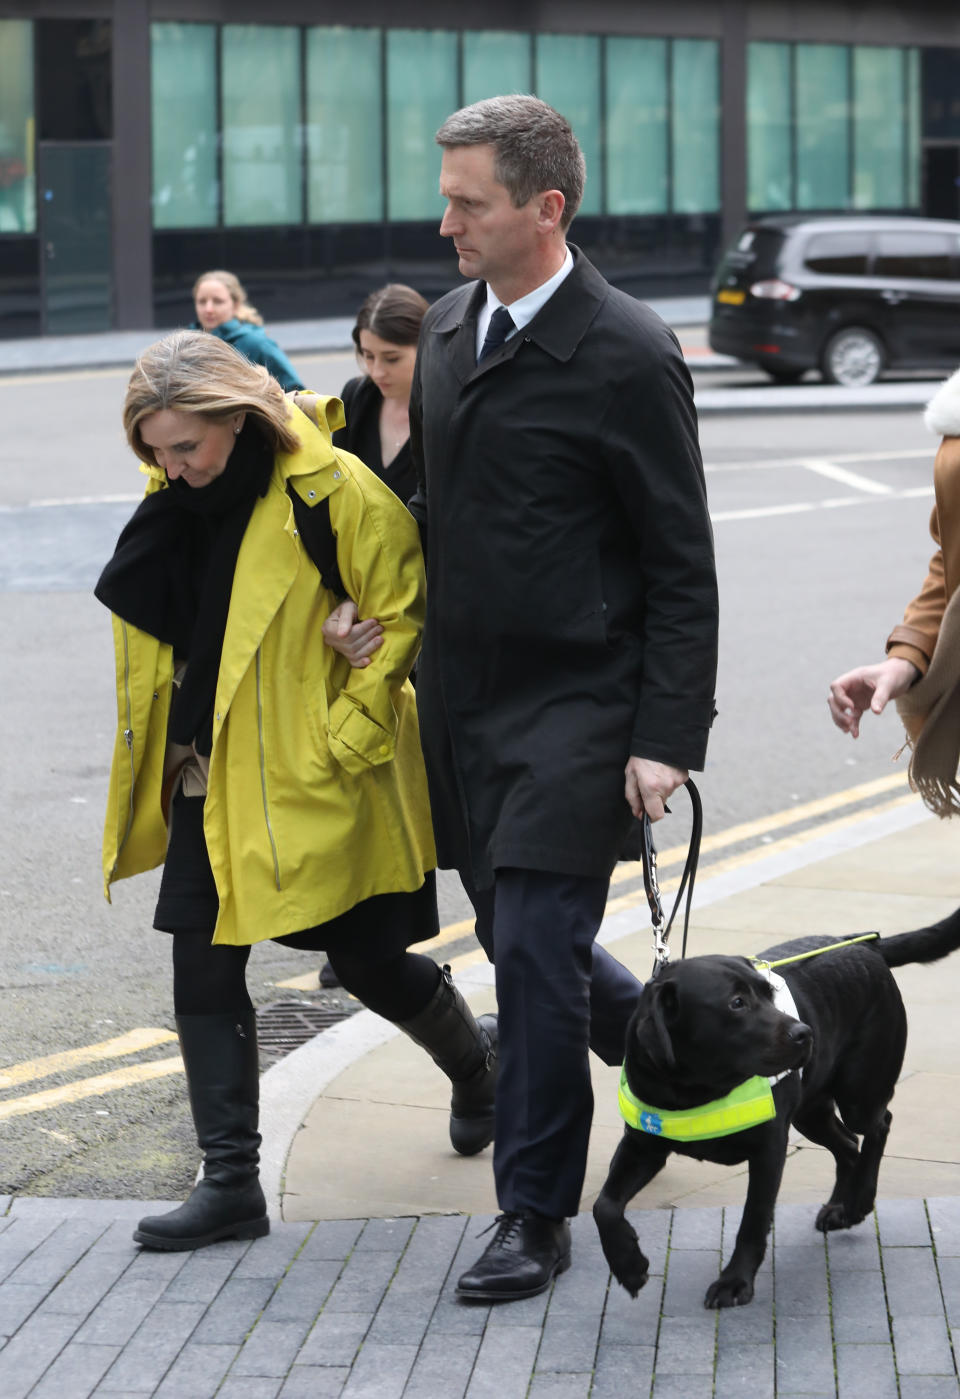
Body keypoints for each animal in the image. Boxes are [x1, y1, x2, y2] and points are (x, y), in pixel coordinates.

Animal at [593, 912, 960, 1303]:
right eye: (737, 1003)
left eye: (769, 994)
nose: (805, 1034)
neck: (697, 1088)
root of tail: (864, 945)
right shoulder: (642, 1144)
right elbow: (605, 1206)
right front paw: (629, 1266)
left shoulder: (768, 1149)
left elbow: (753, 1218)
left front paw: (735, 1281)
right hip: (810, 1110)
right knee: (848, 1144)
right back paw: (840, 1207)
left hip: (860, 1091)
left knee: (879, 1125)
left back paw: (860, 1201)